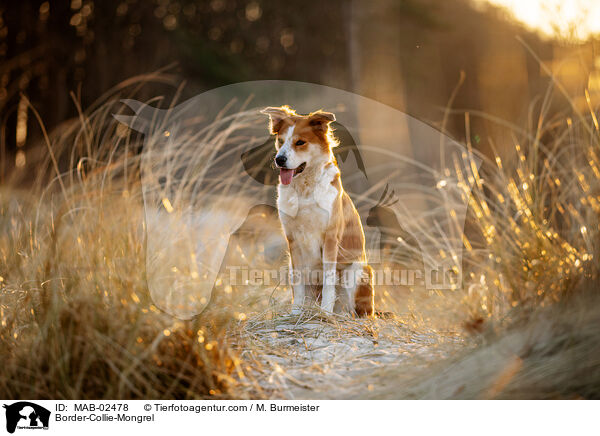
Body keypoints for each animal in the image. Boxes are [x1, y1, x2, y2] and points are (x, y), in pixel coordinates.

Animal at [260, 105, 372, 316]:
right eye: (280, 141)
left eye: (300, 142)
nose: (279, 159)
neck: (305, 190)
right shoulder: (293, 240)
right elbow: (297, 282)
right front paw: (296, 312)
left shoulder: (330, 238)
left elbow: (329, 281)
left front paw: (325, 313)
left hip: (357, 270)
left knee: (355, 310)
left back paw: (340, 314)